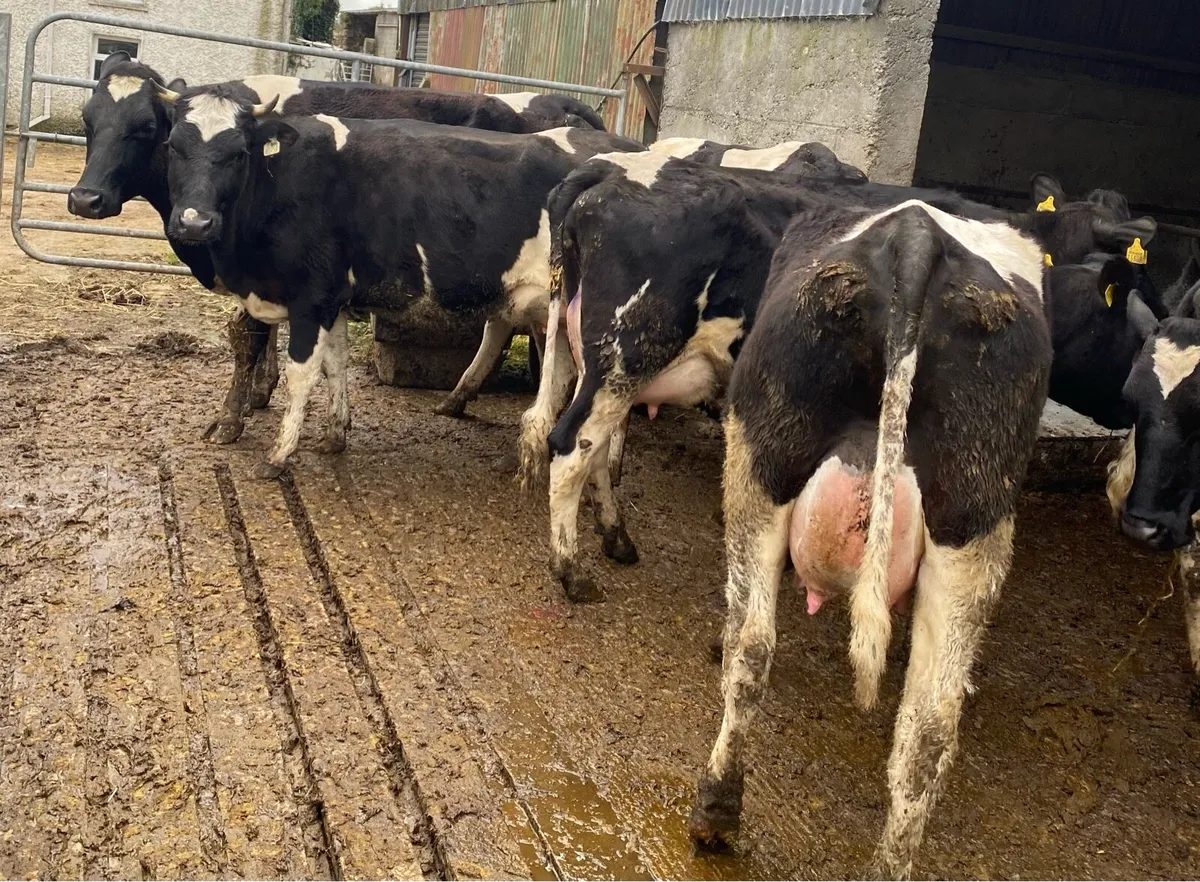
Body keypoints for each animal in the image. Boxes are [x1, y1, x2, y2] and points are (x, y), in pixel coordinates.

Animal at [68, 53, 624, 442]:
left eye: (146, 128)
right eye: (88, 120)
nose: (85, 198)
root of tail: (566, 107)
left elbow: (248, 335)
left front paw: (232, 417)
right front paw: (262, 392)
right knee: (505, 326)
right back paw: (458, 398)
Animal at [521, 153, 1158, 602]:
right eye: (1132, 317)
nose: (1133, 403)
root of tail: (607, 172)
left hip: (587, 355)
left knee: (581, 440)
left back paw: (616, 539)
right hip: (625, 353)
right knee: (572, 446)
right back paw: (572, 572)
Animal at [681, 198, 1051, 879]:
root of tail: (918, 235)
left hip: (759, 460)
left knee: (751, 648)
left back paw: (714, 810)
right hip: (974, 518)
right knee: (929, 727)